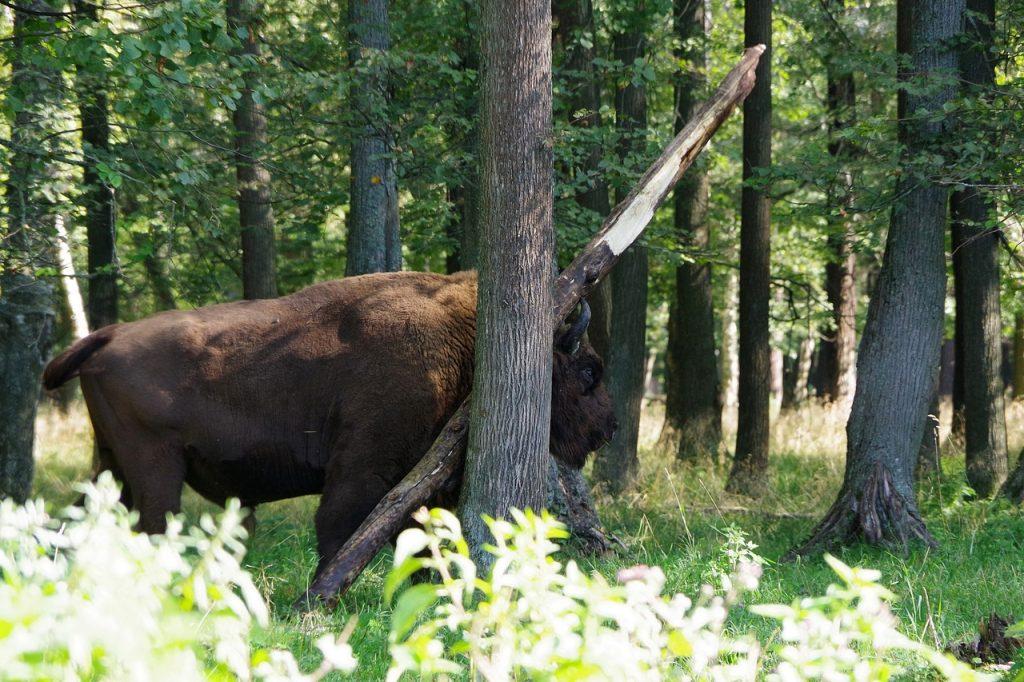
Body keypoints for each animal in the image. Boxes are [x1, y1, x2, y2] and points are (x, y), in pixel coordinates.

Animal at [44, 270, 610, 573]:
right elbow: (340, 528)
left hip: (109, 465)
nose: (609, 427)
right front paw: (322, 598)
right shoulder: (363, 465)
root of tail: (108, 335)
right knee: (152, 526)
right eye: (589, 371)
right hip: (154, 467)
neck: (462, 340)